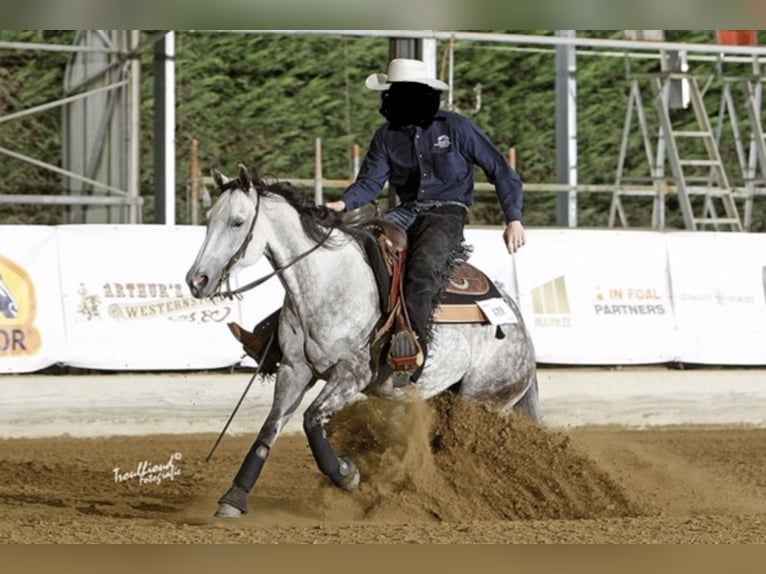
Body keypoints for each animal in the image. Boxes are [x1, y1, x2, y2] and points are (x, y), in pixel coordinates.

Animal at [186, 164, 540, 518]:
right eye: (210, 218)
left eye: (238, 221)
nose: (197, 280)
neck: (329, 282)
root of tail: (521, 330)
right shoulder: (294, 370)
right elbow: (270, 427)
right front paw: (234, 497)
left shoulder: (352, 373)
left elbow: (311, 419)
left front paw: (347, 474)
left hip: (480, 401)